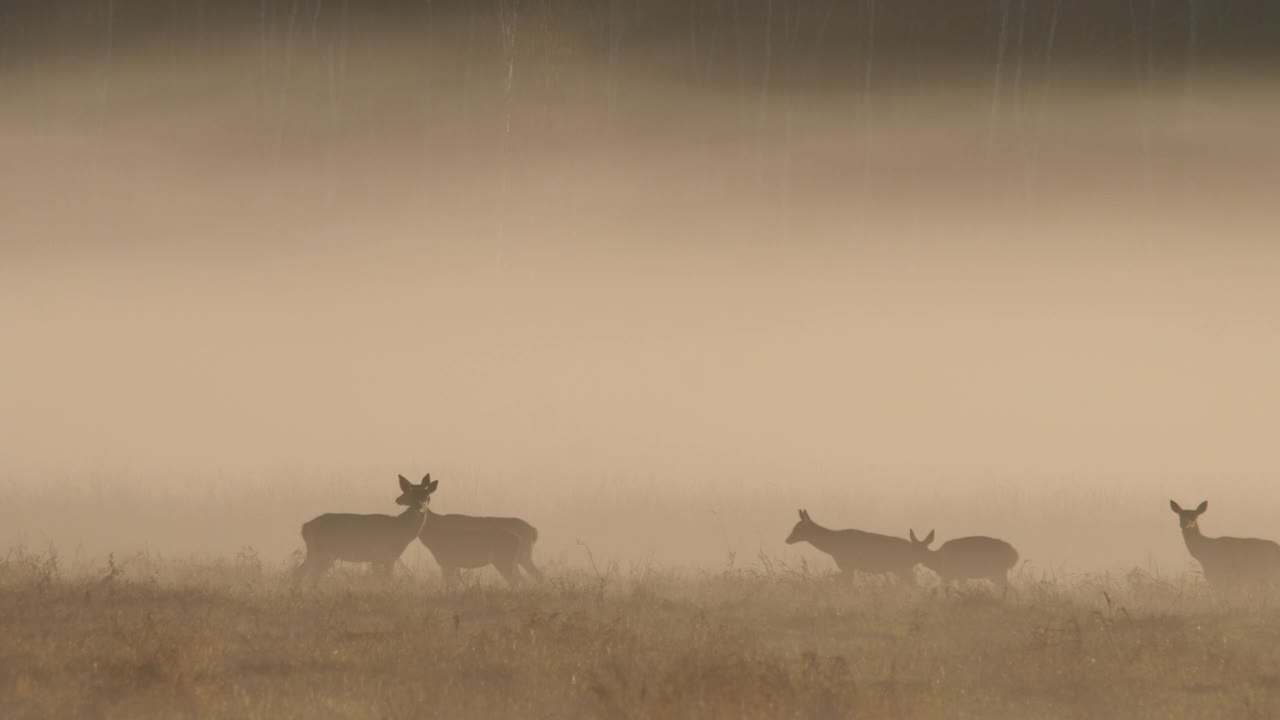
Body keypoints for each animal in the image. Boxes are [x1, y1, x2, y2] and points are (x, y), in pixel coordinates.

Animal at [294, 474, 435, 579]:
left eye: (426, 495)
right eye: (411, 493)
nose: (419, 506)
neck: (402, 531)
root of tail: (304, 527)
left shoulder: (384, 558)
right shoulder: (384, 556)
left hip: (317, 553)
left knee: (300, 573)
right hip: (323, 552)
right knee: (306, 575)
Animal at [778, 507, 921, 579]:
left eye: (798, 528)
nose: (787, 540)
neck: (832, 546)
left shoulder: (847, 565)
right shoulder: (848, 567)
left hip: (902, 568)